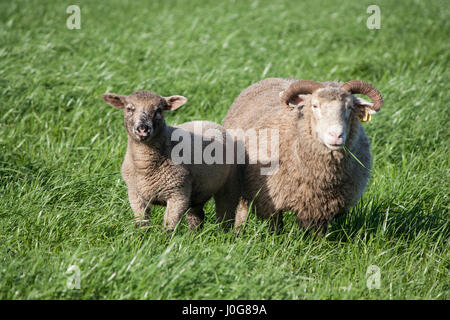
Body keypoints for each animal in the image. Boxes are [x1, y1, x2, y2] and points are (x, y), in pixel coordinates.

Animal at [102, 89, 236, 230]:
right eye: (129, 109)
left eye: (159, 110)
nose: (143, 129)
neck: (145, 167)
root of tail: (208, 121)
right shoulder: (135, 195)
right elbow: (142, 224)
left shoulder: (178, 194)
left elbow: (169, 227)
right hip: (197, 194)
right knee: (196, 215)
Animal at [221, 79, 384, 236]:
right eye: (315, 106)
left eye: (350, 107)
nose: (336, 135)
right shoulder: (270, 199)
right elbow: (276, 229)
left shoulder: (321, 208)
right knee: (241, 208)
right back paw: (238, 231)